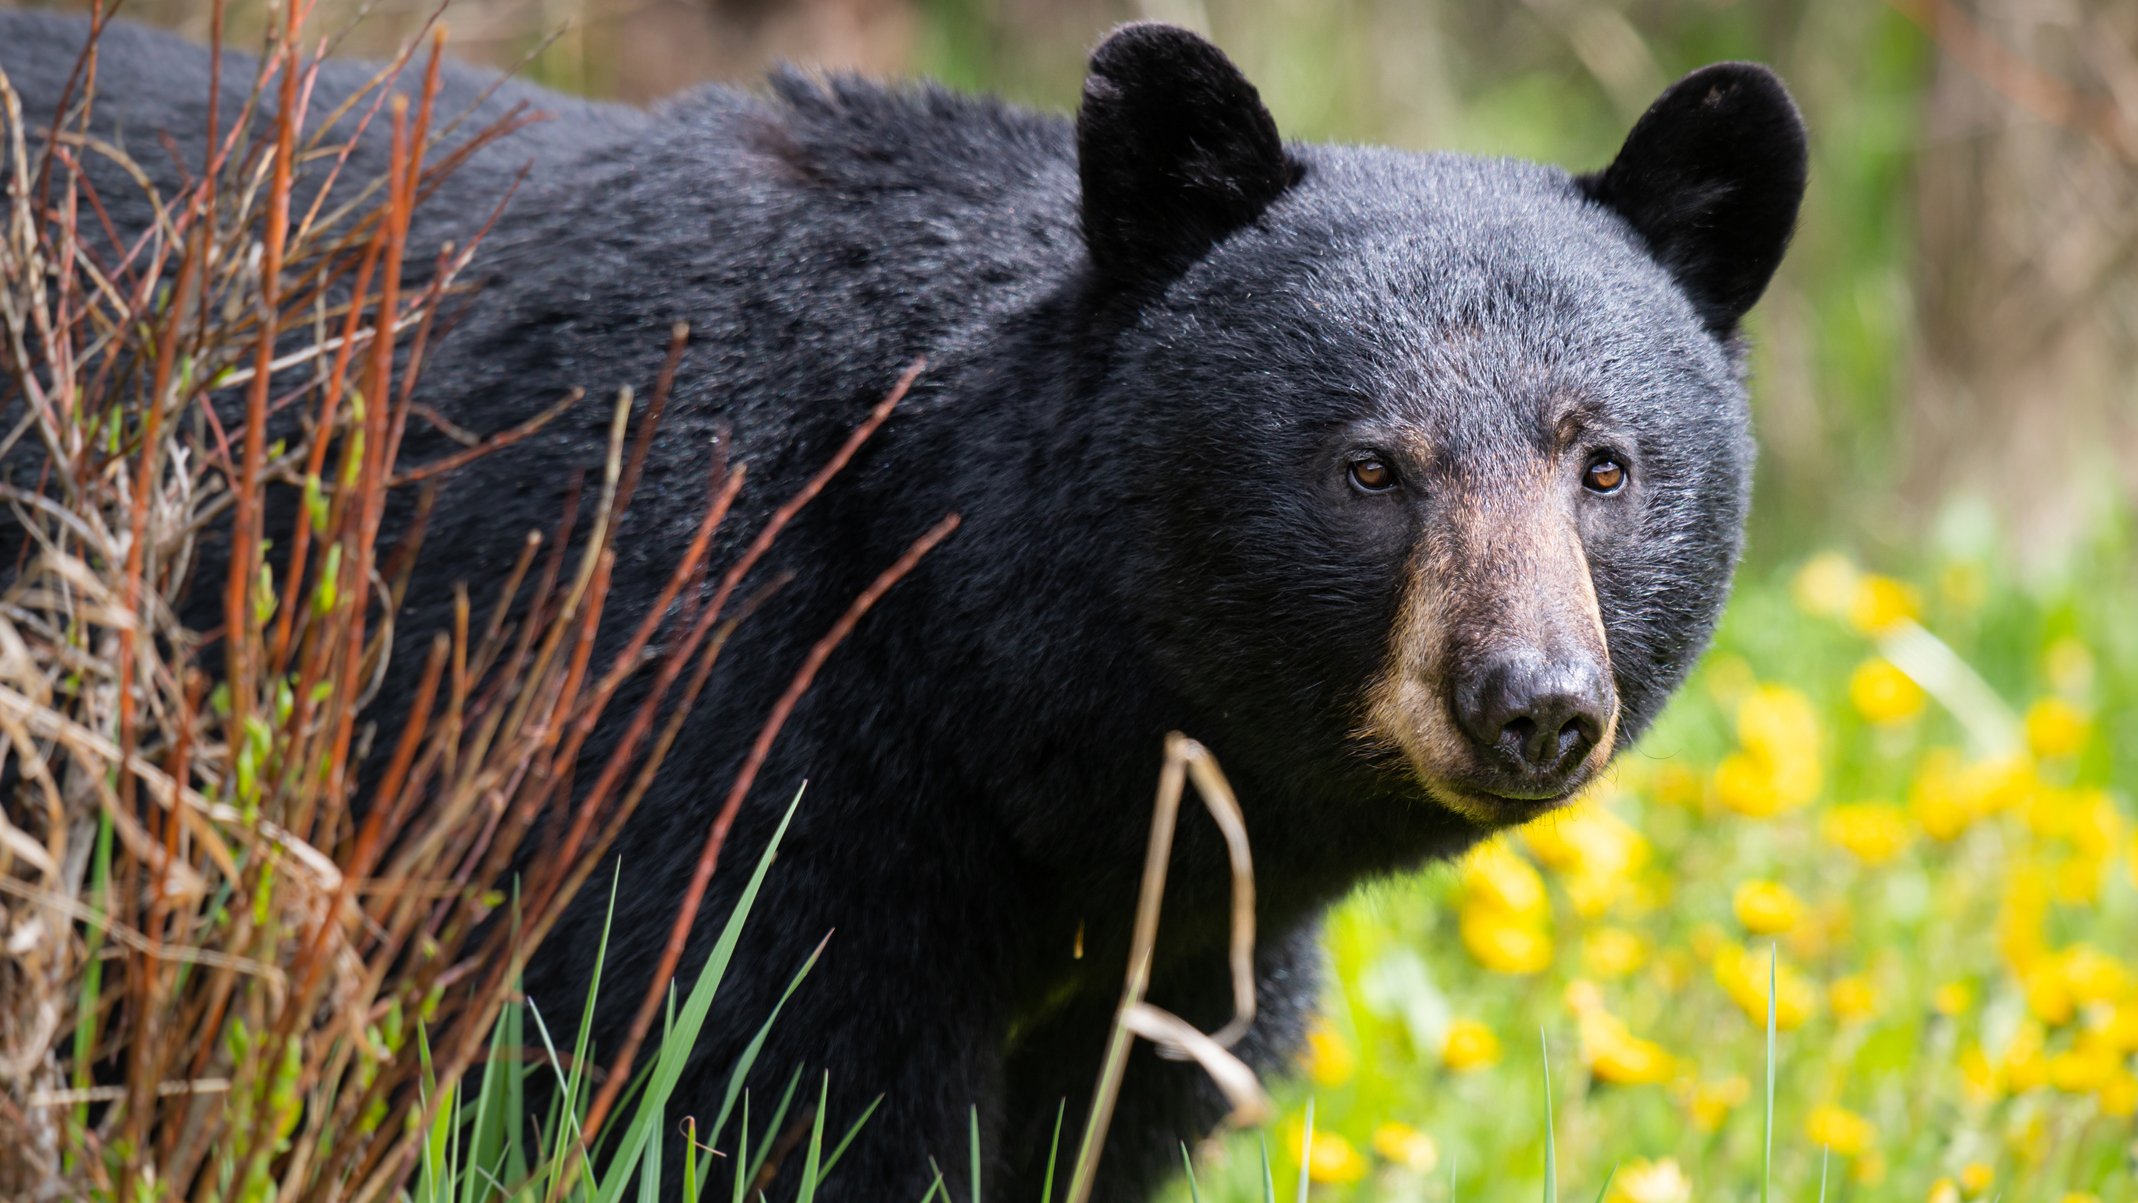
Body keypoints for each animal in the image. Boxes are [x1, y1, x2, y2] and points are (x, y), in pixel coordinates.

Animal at [0, 16, 1804, 1203]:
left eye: (1602, 463)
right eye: (1367, 465)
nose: (1530, 698)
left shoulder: (1162, 956)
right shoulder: (700, 729)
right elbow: (752, 1088)